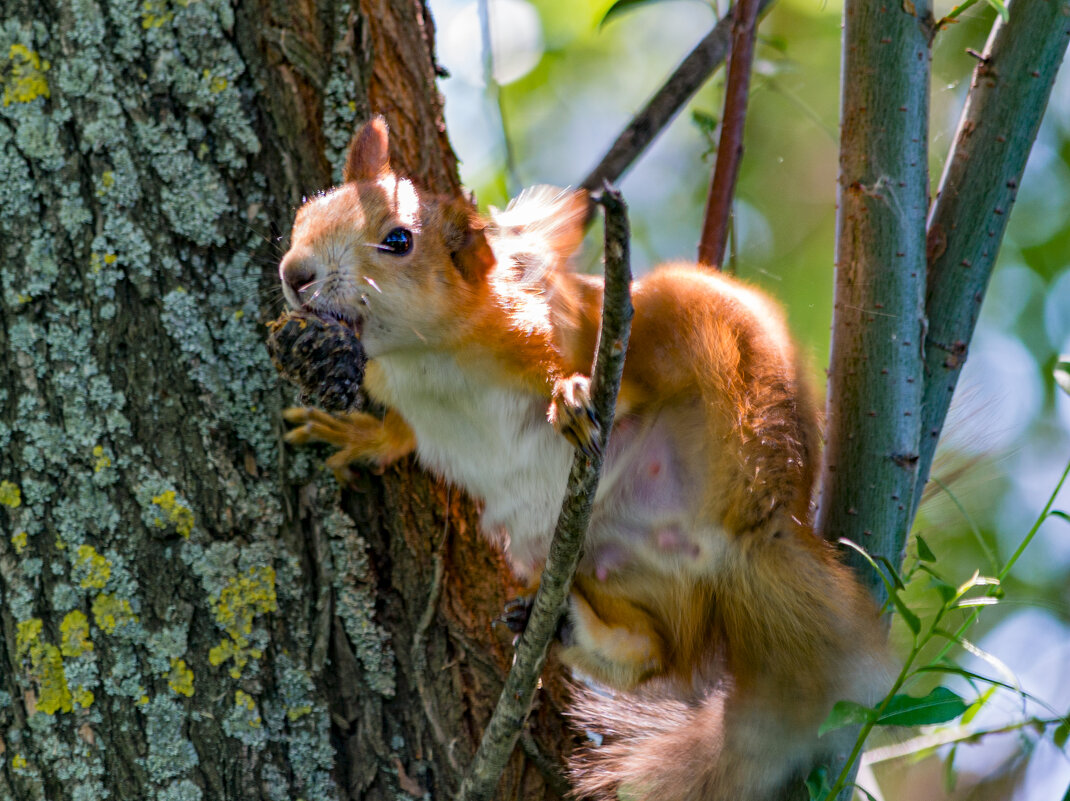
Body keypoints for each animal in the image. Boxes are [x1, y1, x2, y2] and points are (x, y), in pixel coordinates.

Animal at [276, 117, 885, 799]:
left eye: (398, 240)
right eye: (305, 214)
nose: (295, 273)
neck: (422, 355)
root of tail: (743, 537)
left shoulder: (547, 324)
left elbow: (577, 350)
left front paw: (570, 391)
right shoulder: (395, 389)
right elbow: (402, 433)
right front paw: (357, 434)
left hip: (711, 356)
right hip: (584, 560)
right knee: (656, 652)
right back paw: (575, 627)